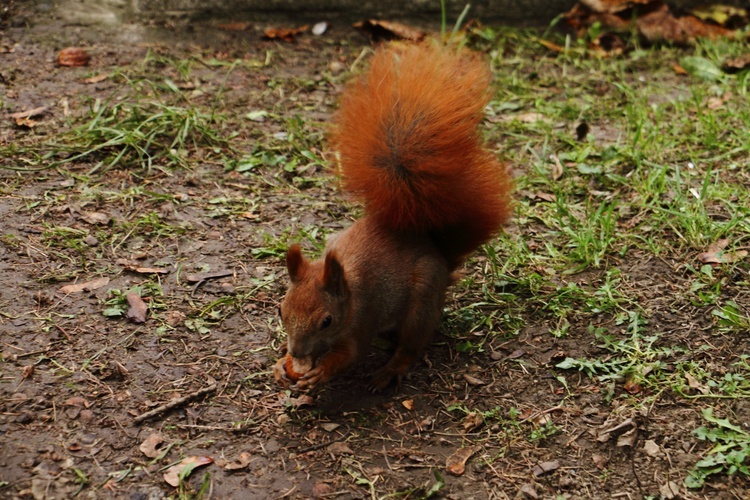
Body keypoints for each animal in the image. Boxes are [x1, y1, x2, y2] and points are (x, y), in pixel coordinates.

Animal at [274, 42, 516, 390]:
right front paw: (282, 364)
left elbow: (351, 355)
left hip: (422, 299)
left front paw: (320, 372)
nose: (297, 351)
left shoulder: (363, 318)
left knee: (412, 344)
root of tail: (438, 252)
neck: (348, 288)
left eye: (327, 321)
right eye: (281, 310)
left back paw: (389, 370)